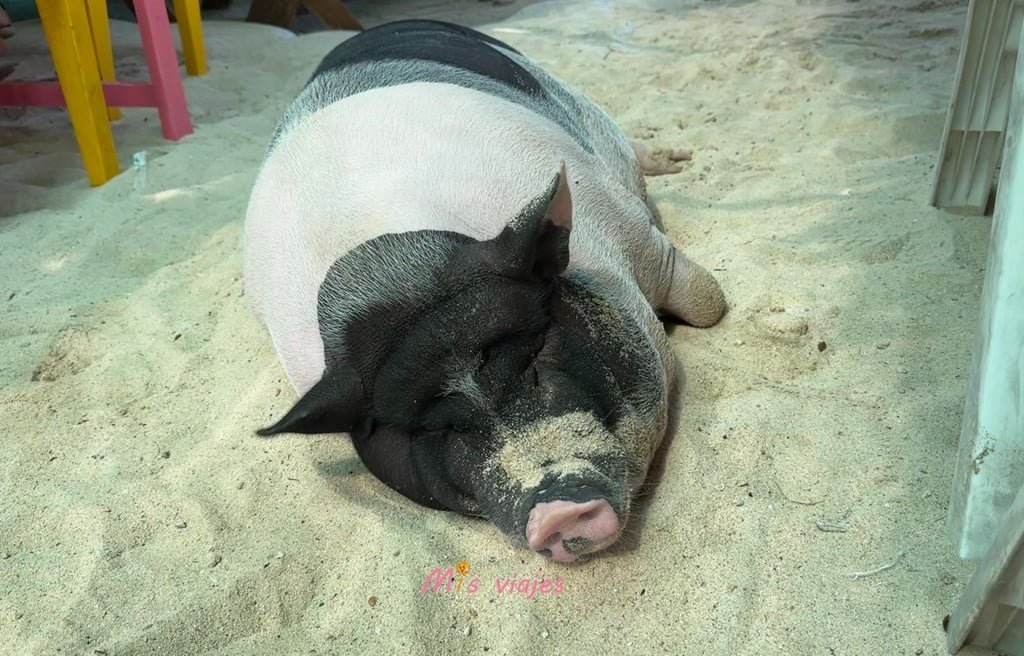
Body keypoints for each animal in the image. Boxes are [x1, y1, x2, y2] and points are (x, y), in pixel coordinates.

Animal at [243, 19, 726, 563]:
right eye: (431, 427)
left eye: (537, 349)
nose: (559, 512)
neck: (401, 277)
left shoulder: (629, 230)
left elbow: (708, 301)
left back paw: (679, 159)